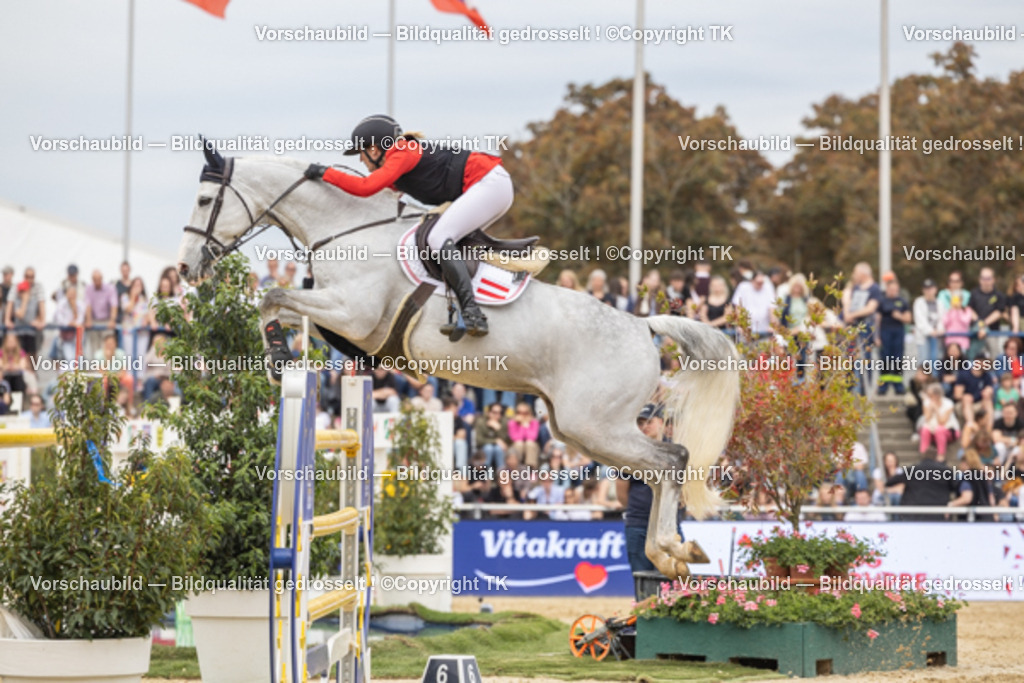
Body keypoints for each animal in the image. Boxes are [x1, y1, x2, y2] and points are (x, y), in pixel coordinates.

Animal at [176, 147, 740, 579]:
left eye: (204, 200)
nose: (184, 268)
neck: (347, 229)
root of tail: (642, 326)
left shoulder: (352, 314)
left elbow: (272, 296)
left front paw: (277, 355)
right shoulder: (340, 315)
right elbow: (275, 303)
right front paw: (278, 354)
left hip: (595, 425)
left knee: (674, 460)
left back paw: (670, 551)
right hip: (580, 430)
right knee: (661, 468)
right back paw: (671, 555)